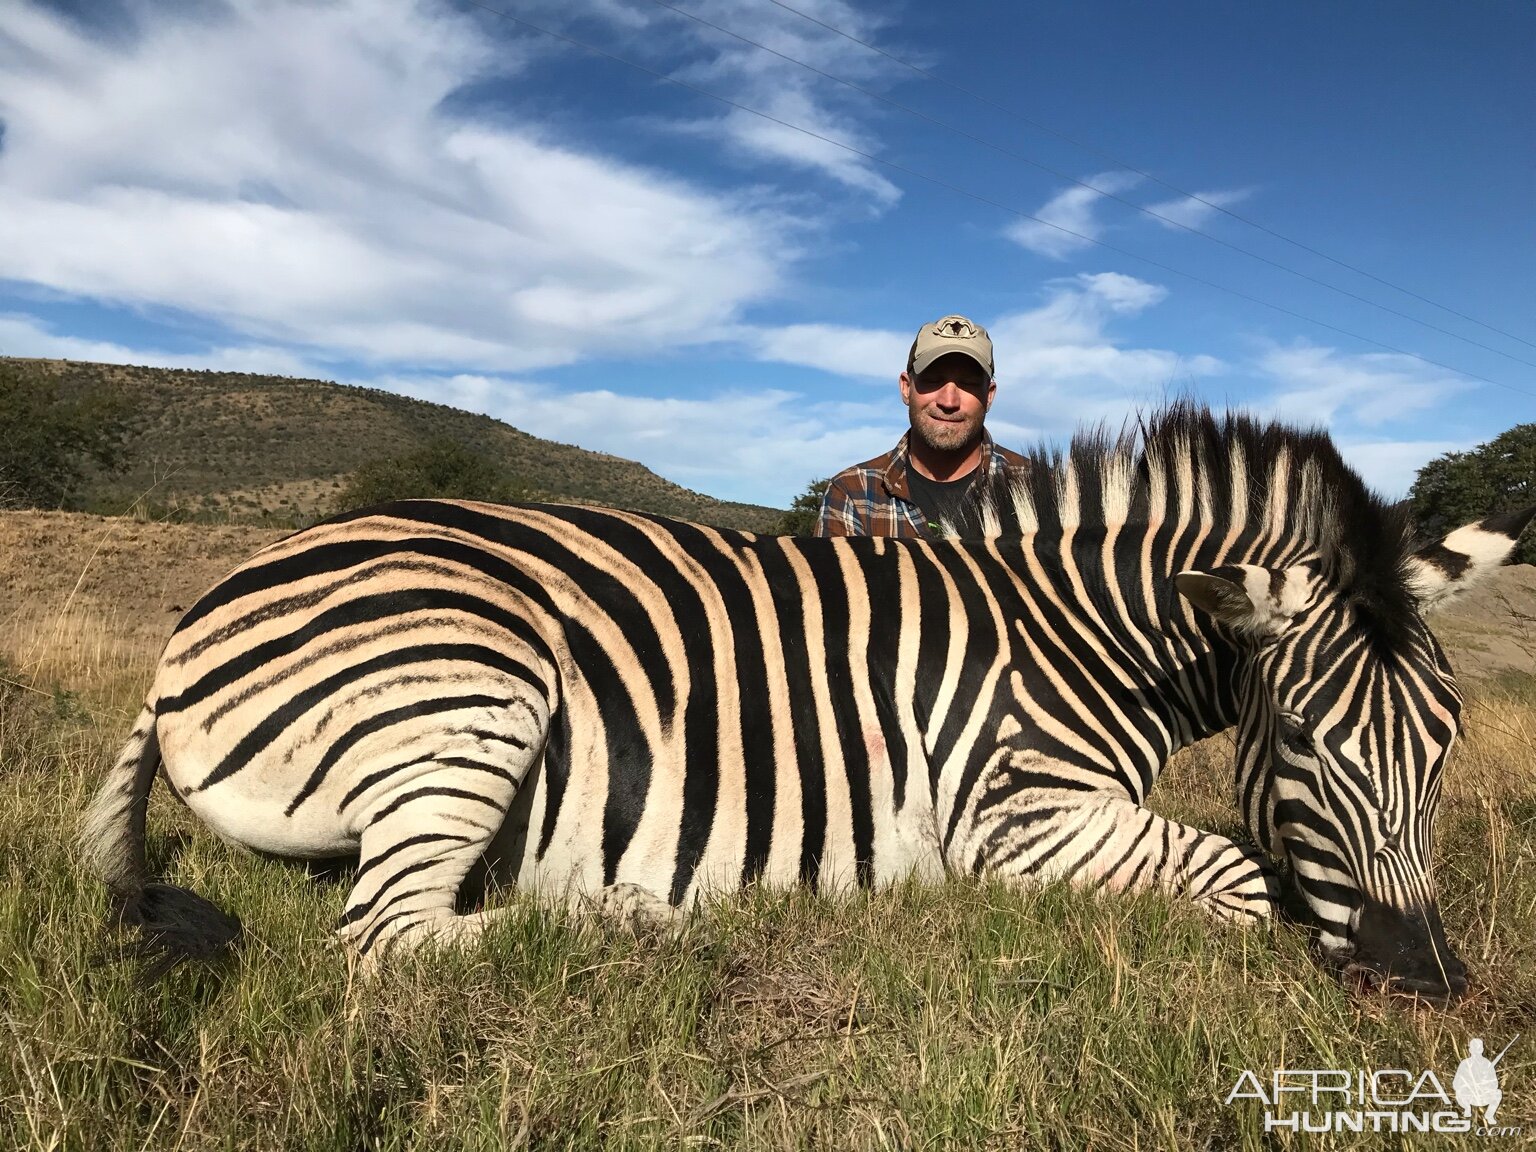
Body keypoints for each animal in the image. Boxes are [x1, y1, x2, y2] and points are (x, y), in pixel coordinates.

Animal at [81, 408, 1523, 1001]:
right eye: (1310, 744)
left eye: (1447, 748)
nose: (1431, 985)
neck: (1078, 635)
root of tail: (189, 628)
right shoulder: (1018, 818)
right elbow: (1236, 878)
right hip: (473, 680)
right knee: (387, 937)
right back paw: (635, 921)